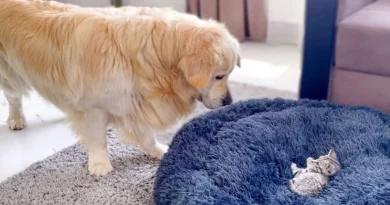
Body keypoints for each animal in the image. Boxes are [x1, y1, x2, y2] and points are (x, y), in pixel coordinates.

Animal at [0, 0, 239, 176]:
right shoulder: (95, 107)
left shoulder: (133, 102)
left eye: (229, 74)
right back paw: (16, 119)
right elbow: (98, 139)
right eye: (219, 76)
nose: (229, 102)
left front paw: (158, 150)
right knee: (13, 97)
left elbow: (146, 135)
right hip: (9, 73)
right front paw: (99, 165)